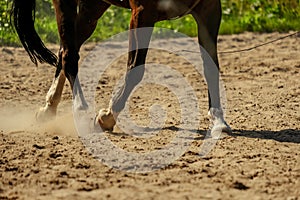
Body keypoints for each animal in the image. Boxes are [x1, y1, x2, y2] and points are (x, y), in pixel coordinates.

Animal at [10, 0, 231, 134]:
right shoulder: (142, 14)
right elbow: (135, 69)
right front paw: (106, 117)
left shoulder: (210, 11)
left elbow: (211, 67)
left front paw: (218, 120)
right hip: (67, 4)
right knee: (69, 55)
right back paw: (80, 111)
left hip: (92, 8)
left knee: (66, 50)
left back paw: (49, 108)